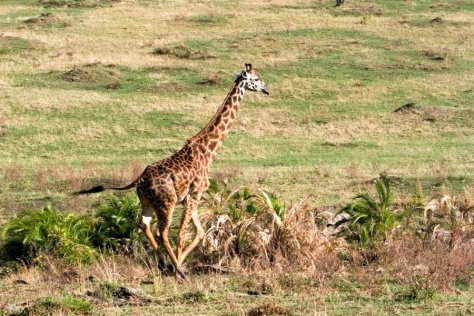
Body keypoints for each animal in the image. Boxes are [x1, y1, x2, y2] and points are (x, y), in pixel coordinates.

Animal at [73, 63, 266, 278]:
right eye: (256, 79)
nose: (266, 88)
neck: (207, 152)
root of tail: (139, 180)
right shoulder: (195, 194)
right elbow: (183, 232)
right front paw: (179, 266)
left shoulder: (190, 198)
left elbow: (199, 232)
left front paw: (178, 262)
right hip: (167, 202)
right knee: (162, 231)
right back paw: (175, 268)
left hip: (148, 202)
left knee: (144, 224)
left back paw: (163, 262)